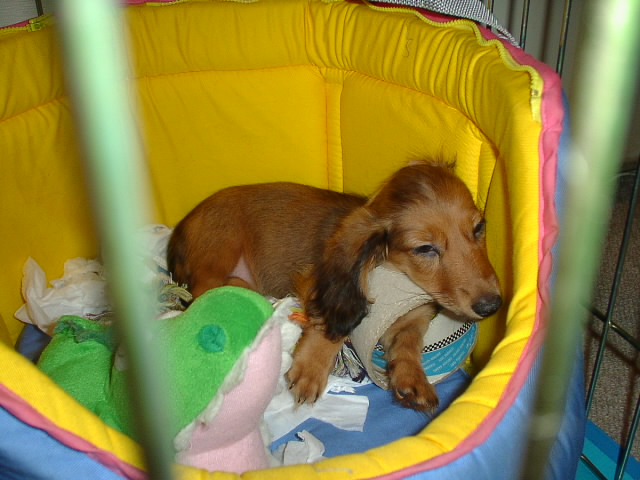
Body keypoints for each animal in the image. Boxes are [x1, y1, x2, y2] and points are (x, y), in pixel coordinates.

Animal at [167, 160, 502, 411]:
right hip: (221, 245)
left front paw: (412, 378)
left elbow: (408, 342)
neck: (399, 276)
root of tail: (180, 228)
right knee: (205, 291)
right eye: (425, 248)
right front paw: (312, 368)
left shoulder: (415, 314)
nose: (492, 305)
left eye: (479, 228)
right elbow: (333, 323)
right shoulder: (320, 283)